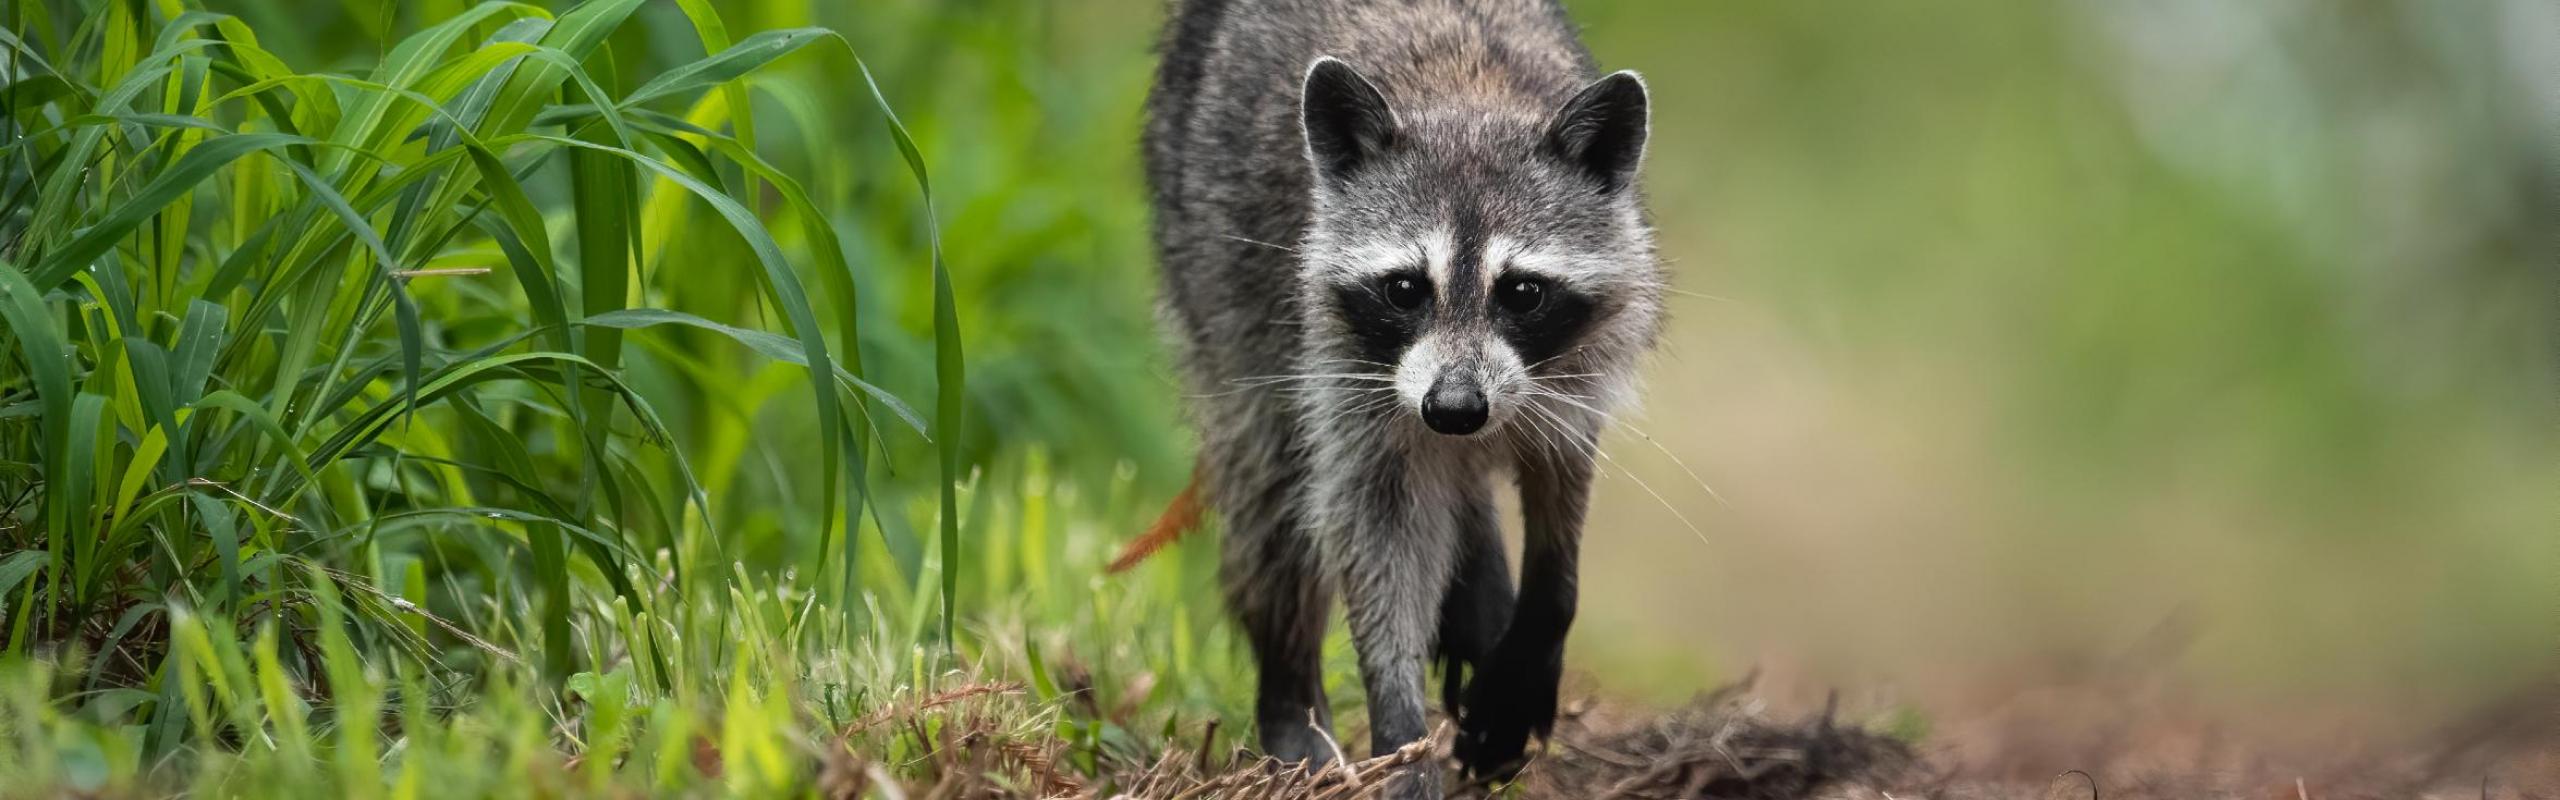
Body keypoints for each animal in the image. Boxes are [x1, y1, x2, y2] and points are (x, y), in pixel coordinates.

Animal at [1143, 0, 1661, 792]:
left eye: (1523, 292)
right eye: (1405, 288)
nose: (1454, 410)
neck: (1469, 96)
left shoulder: (1574, 368)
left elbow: (1561, 491)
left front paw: (1540, 617)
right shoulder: (1347, 367)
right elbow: (1376, 524)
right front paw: (1400, 728)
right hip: (1211, 257)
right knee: (1272, 488)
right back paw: (1290, 694)